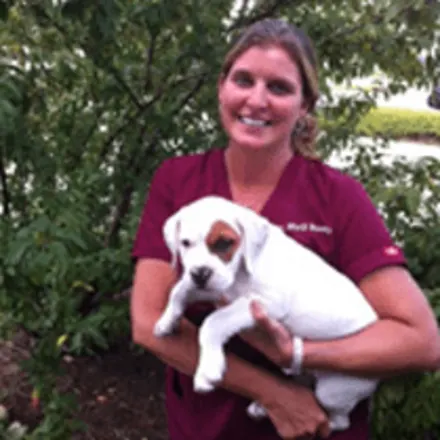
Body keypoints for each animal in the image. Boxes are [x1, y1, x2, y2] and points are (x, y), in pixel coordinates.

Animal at [154, 195, 378, 430]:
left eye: (224, 243)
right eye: (185, 243)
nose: (199, 274)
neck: (243, 268)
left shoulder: (266, 302)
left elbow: (215, 321)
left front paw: (208, 370)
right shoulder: (217, 288)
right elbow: (179, 290)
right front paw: (167, 320)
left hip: (334, 391)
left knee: (338, 420)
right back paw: (262, 408)